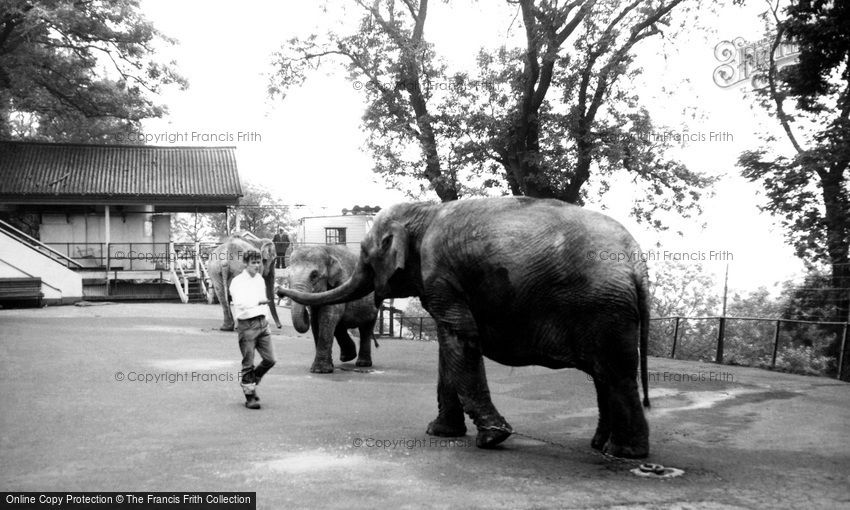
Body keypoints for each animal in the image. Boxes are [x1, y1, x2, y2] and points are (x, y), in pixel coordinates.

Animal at [278, 196, 648, 458]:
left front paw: (491, 437)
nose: (280, 291)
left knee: (614, 372)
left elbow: (460, 335)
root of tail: (635, 260)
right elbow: (449, 345)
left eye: (367, 255)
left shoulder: (441, 274)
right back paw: (601, 446)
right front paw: (440, 432)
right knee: (605, 373)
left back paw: (623, 453)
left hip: (604, 307)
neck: (425, 210)